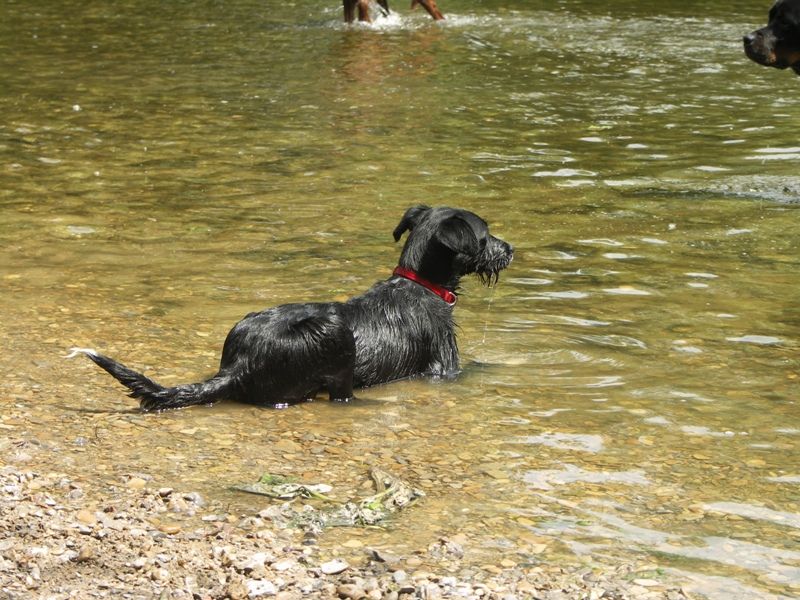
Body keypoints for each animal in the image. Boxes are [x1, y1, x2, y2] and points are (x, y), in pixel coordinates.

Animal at [73, 207, 512, 412]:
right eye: (486, 235)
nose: (510, 249)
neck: (418, 283)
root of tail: (237, 366)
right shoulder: (443, 368)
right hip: (333, 334)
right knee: (340, 393)